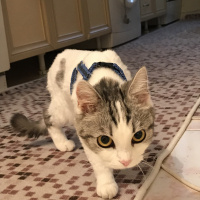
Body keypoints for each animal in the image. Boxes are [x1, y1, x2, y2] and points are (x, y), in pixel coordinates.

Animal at [10, 49, 155, 199]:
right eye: (104, 140)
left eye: (139, 135)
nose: (125, 162)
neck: (106, 81)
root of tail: (62, 53)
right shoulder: (84, 132)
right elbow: (98, 161)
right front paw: (106, 183)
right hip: (64, 108)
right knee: (48, 114)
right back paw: (62, 142)